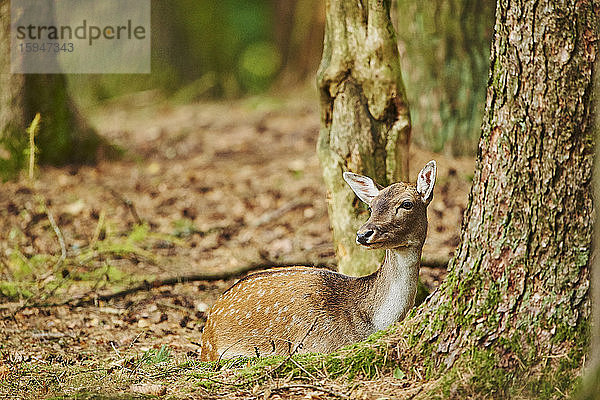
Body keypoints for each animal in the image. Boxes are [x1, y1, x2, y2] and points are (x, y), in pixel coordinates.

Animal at [202, 161, 436, 360]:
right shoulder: (313, 345)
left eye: (407, 204)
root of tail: (206, 335)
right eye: (371, 206)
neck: (372, 322)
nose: (363, 234)